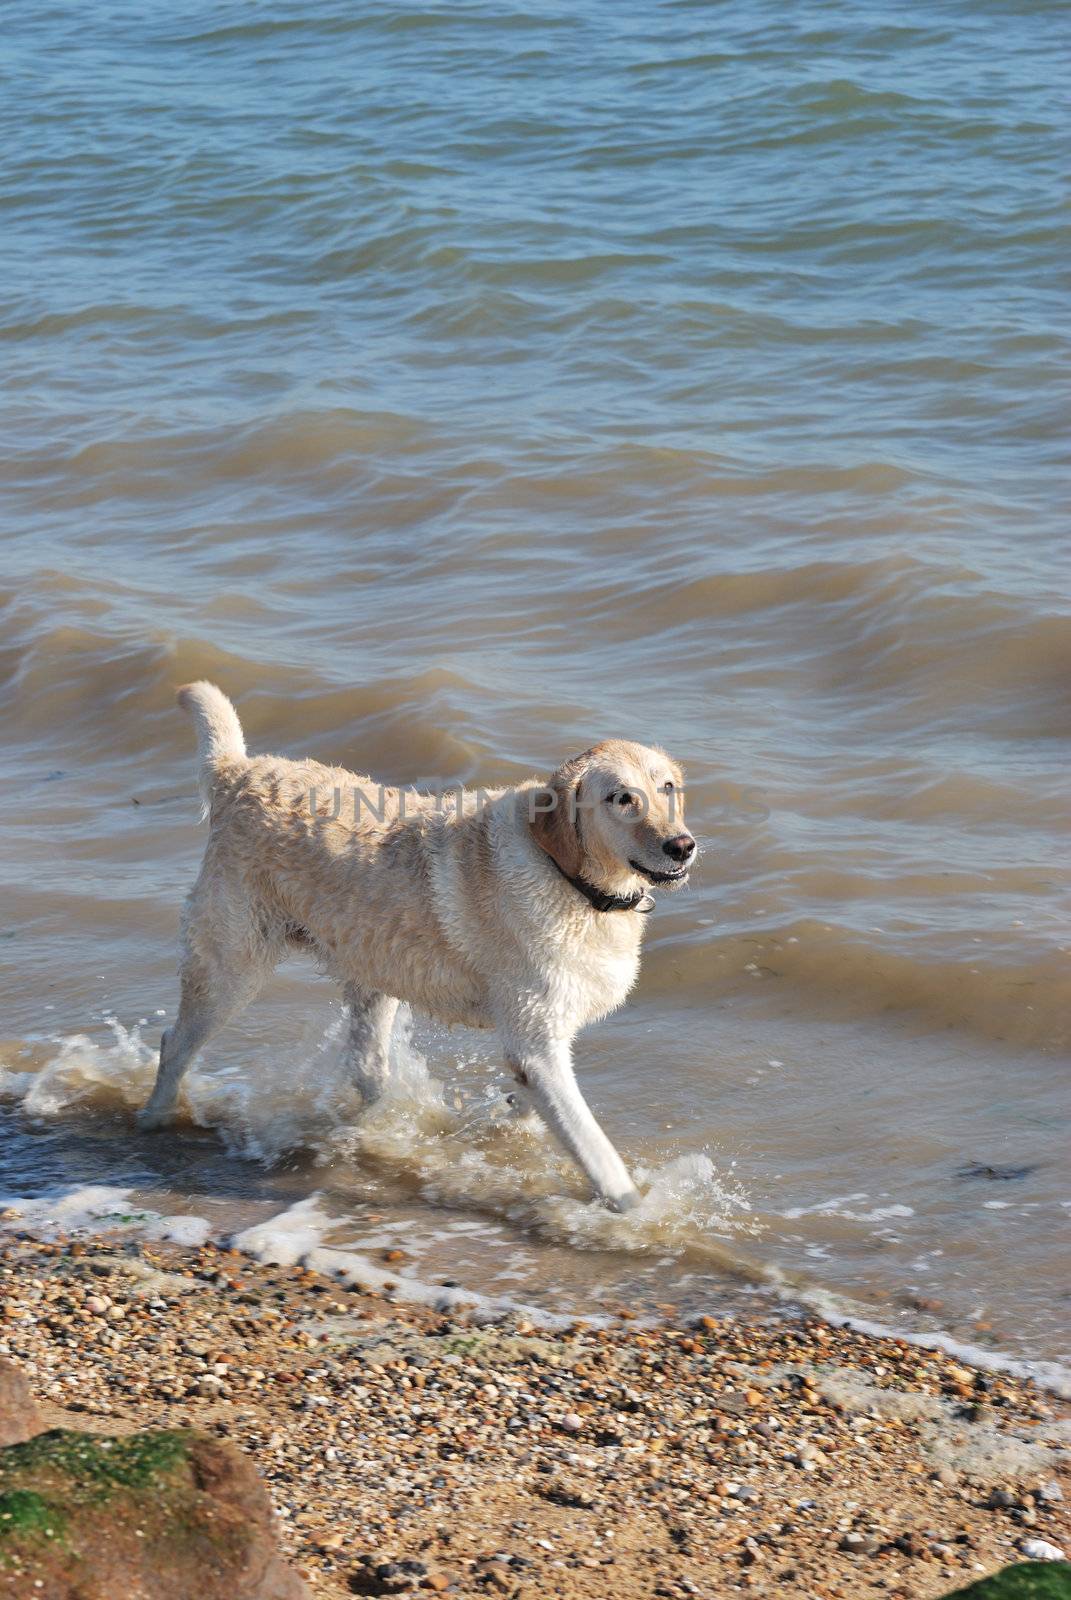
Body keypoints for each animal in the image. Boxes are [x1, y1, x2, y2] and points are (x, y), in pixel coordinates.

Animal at [141, 681, 694, 1203]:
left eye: (666, 788)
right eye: (621, 798)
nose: (682, 846)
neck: (567, 877)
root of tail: (237, 772)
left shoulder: (538, 1039)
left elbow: (530, 1106)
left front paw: (498, 1120)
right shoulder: (538, 1043)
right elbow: (596, 1150)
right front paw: (634, 1211)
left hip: (372, 969)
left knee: (364, 1067)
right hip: (232, 967)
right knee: (175, 1043)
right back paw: (155, 1119)